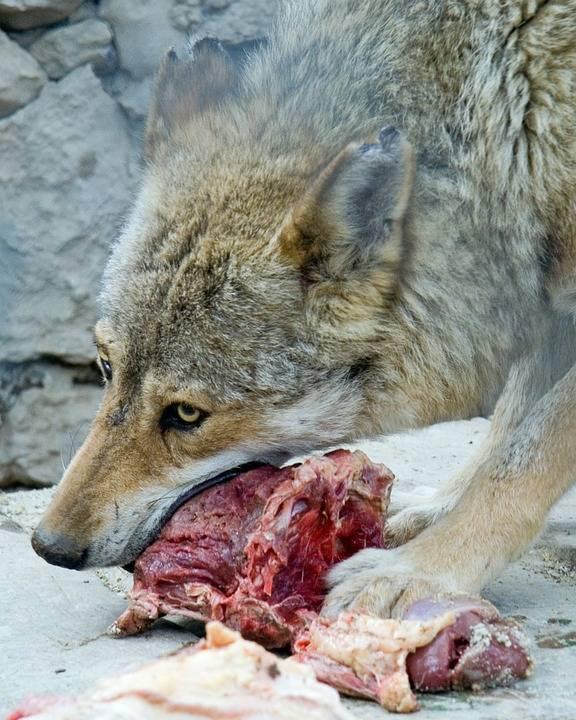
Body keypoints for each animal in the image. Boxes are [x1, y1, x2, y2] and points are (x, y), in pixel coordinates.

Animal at [31, 0, 576, 620]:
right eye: (106, 367)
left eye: (187, 414)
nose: (49, 546)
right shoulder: (544, 296)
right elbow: (508, 432)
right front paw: (437, 510)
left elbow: (524, 459)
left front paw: (421, 571)